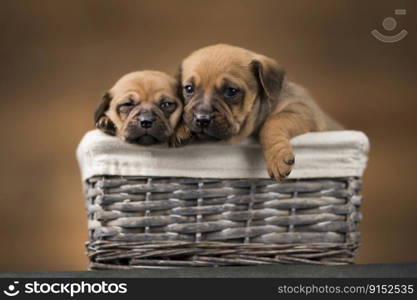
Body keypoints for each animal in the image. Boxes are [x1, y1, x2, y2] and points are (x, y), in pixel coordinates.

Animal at [176, 43, 342, 179]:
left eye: (231, 91)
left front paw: (277, 157)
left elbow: (273, 123)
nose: (201, 119)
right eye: (189, 89)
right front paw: (181, 128)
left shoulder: (301, 110)